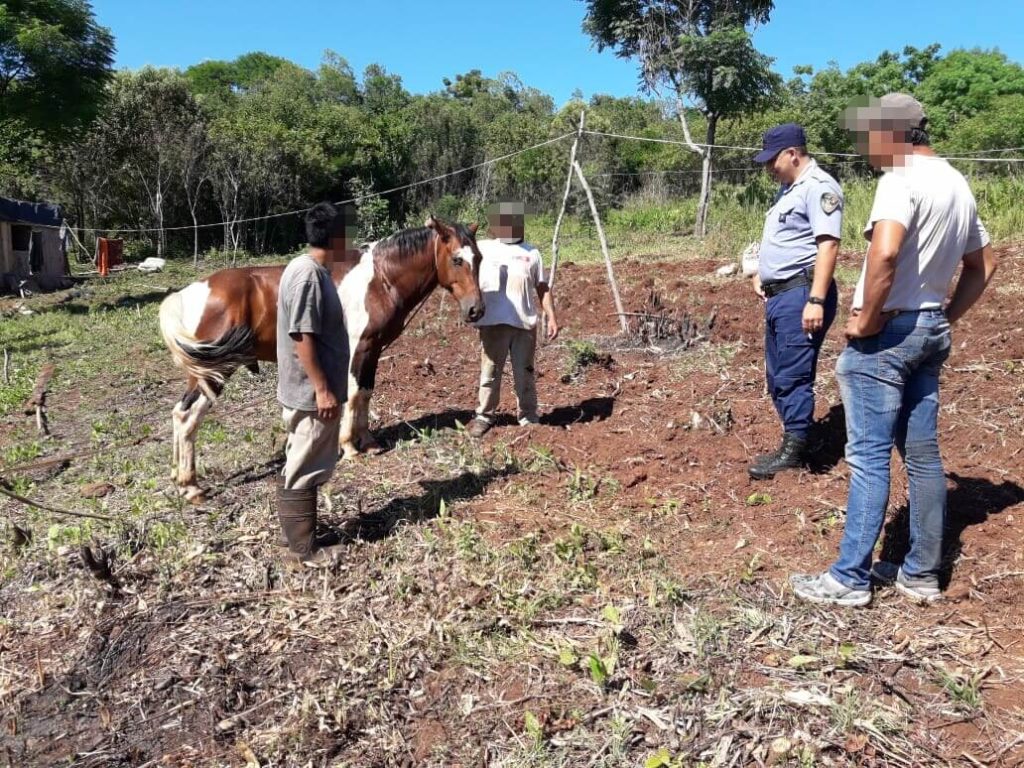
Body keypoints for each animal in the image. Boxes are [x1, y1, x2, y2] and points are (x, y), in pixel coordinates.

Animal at [157, 217, 485, 505]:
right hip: (214, 373)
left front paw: (368, 441)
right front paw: (350, 447)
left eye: (479, 258)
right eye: (457, 259)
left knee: (178, 413)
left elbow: (366, 393)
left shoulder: (374, 350)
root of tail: (189, 293)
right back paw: (191, 487)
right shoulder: (358, 349)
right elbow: (353, 395)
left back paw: (179, 479)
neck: (379, 280)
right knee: (188, 417)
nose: (476, 310)